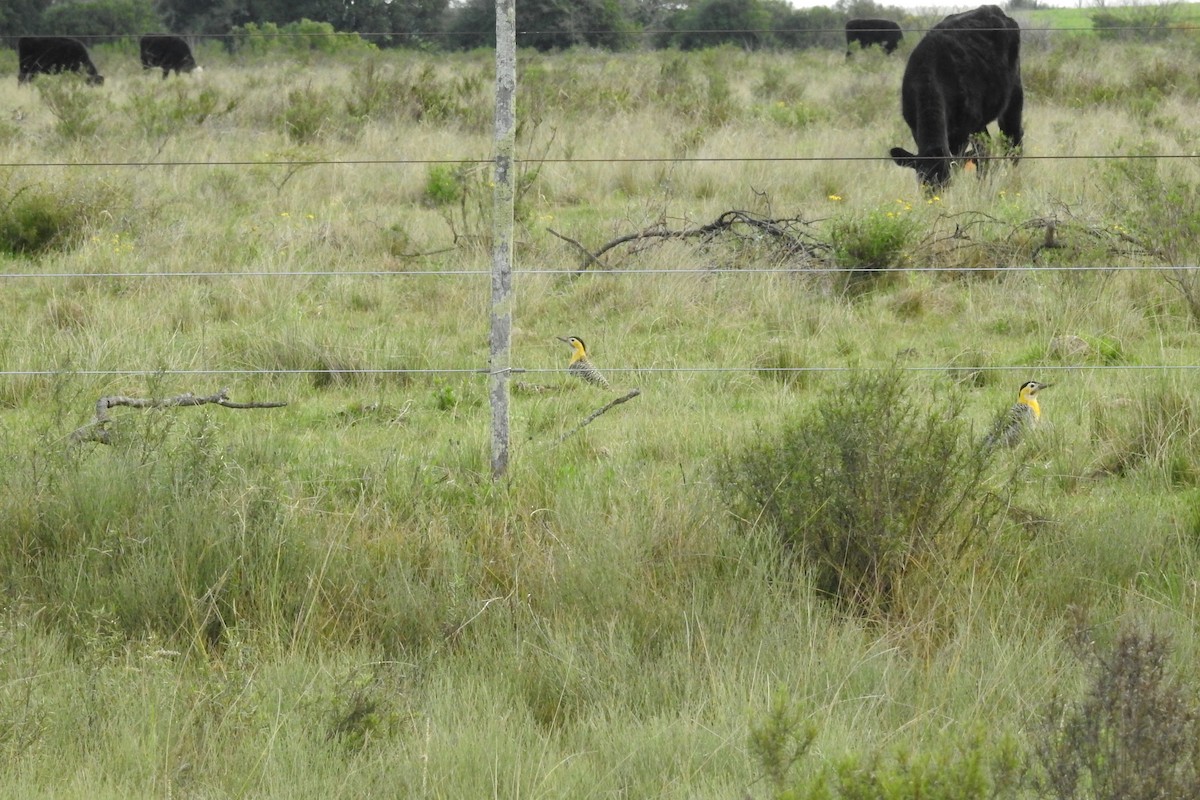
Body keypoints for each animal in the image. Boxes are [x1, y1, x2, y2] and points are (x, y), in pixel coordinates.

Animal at [892, 3, 1022, 187]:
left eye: (947, 182)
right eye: (922, 181)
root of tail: (993, 9)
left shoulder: (962, 133)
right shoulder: (915, 128)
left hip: (1013, 97)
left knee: (1012, 139)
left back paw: (1014, 176)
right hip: (979, 121)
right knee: (985, 148)